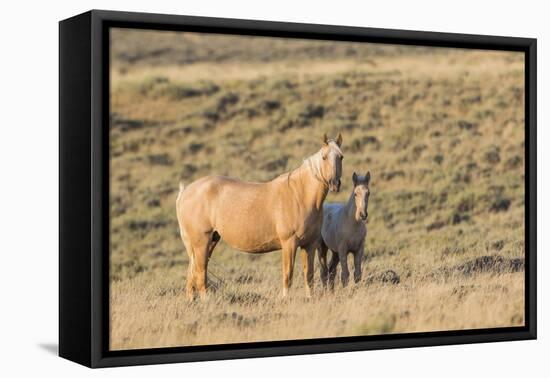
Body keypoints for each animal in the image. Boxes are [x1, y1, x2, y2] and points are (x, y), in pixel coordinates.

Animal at [176, 134, 344, 300]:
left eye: (341, 157)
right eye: (324, 157)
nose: (334, 184)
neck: (300, 195)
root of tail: (185, 192)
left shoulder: (309, 245)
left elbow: (308, 275)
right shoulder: (289, 243)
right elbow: (287, 275)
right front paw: (285, 299)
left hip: (209, 241)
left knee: (192, 275)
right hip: (201, 243)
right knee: (200, 274)